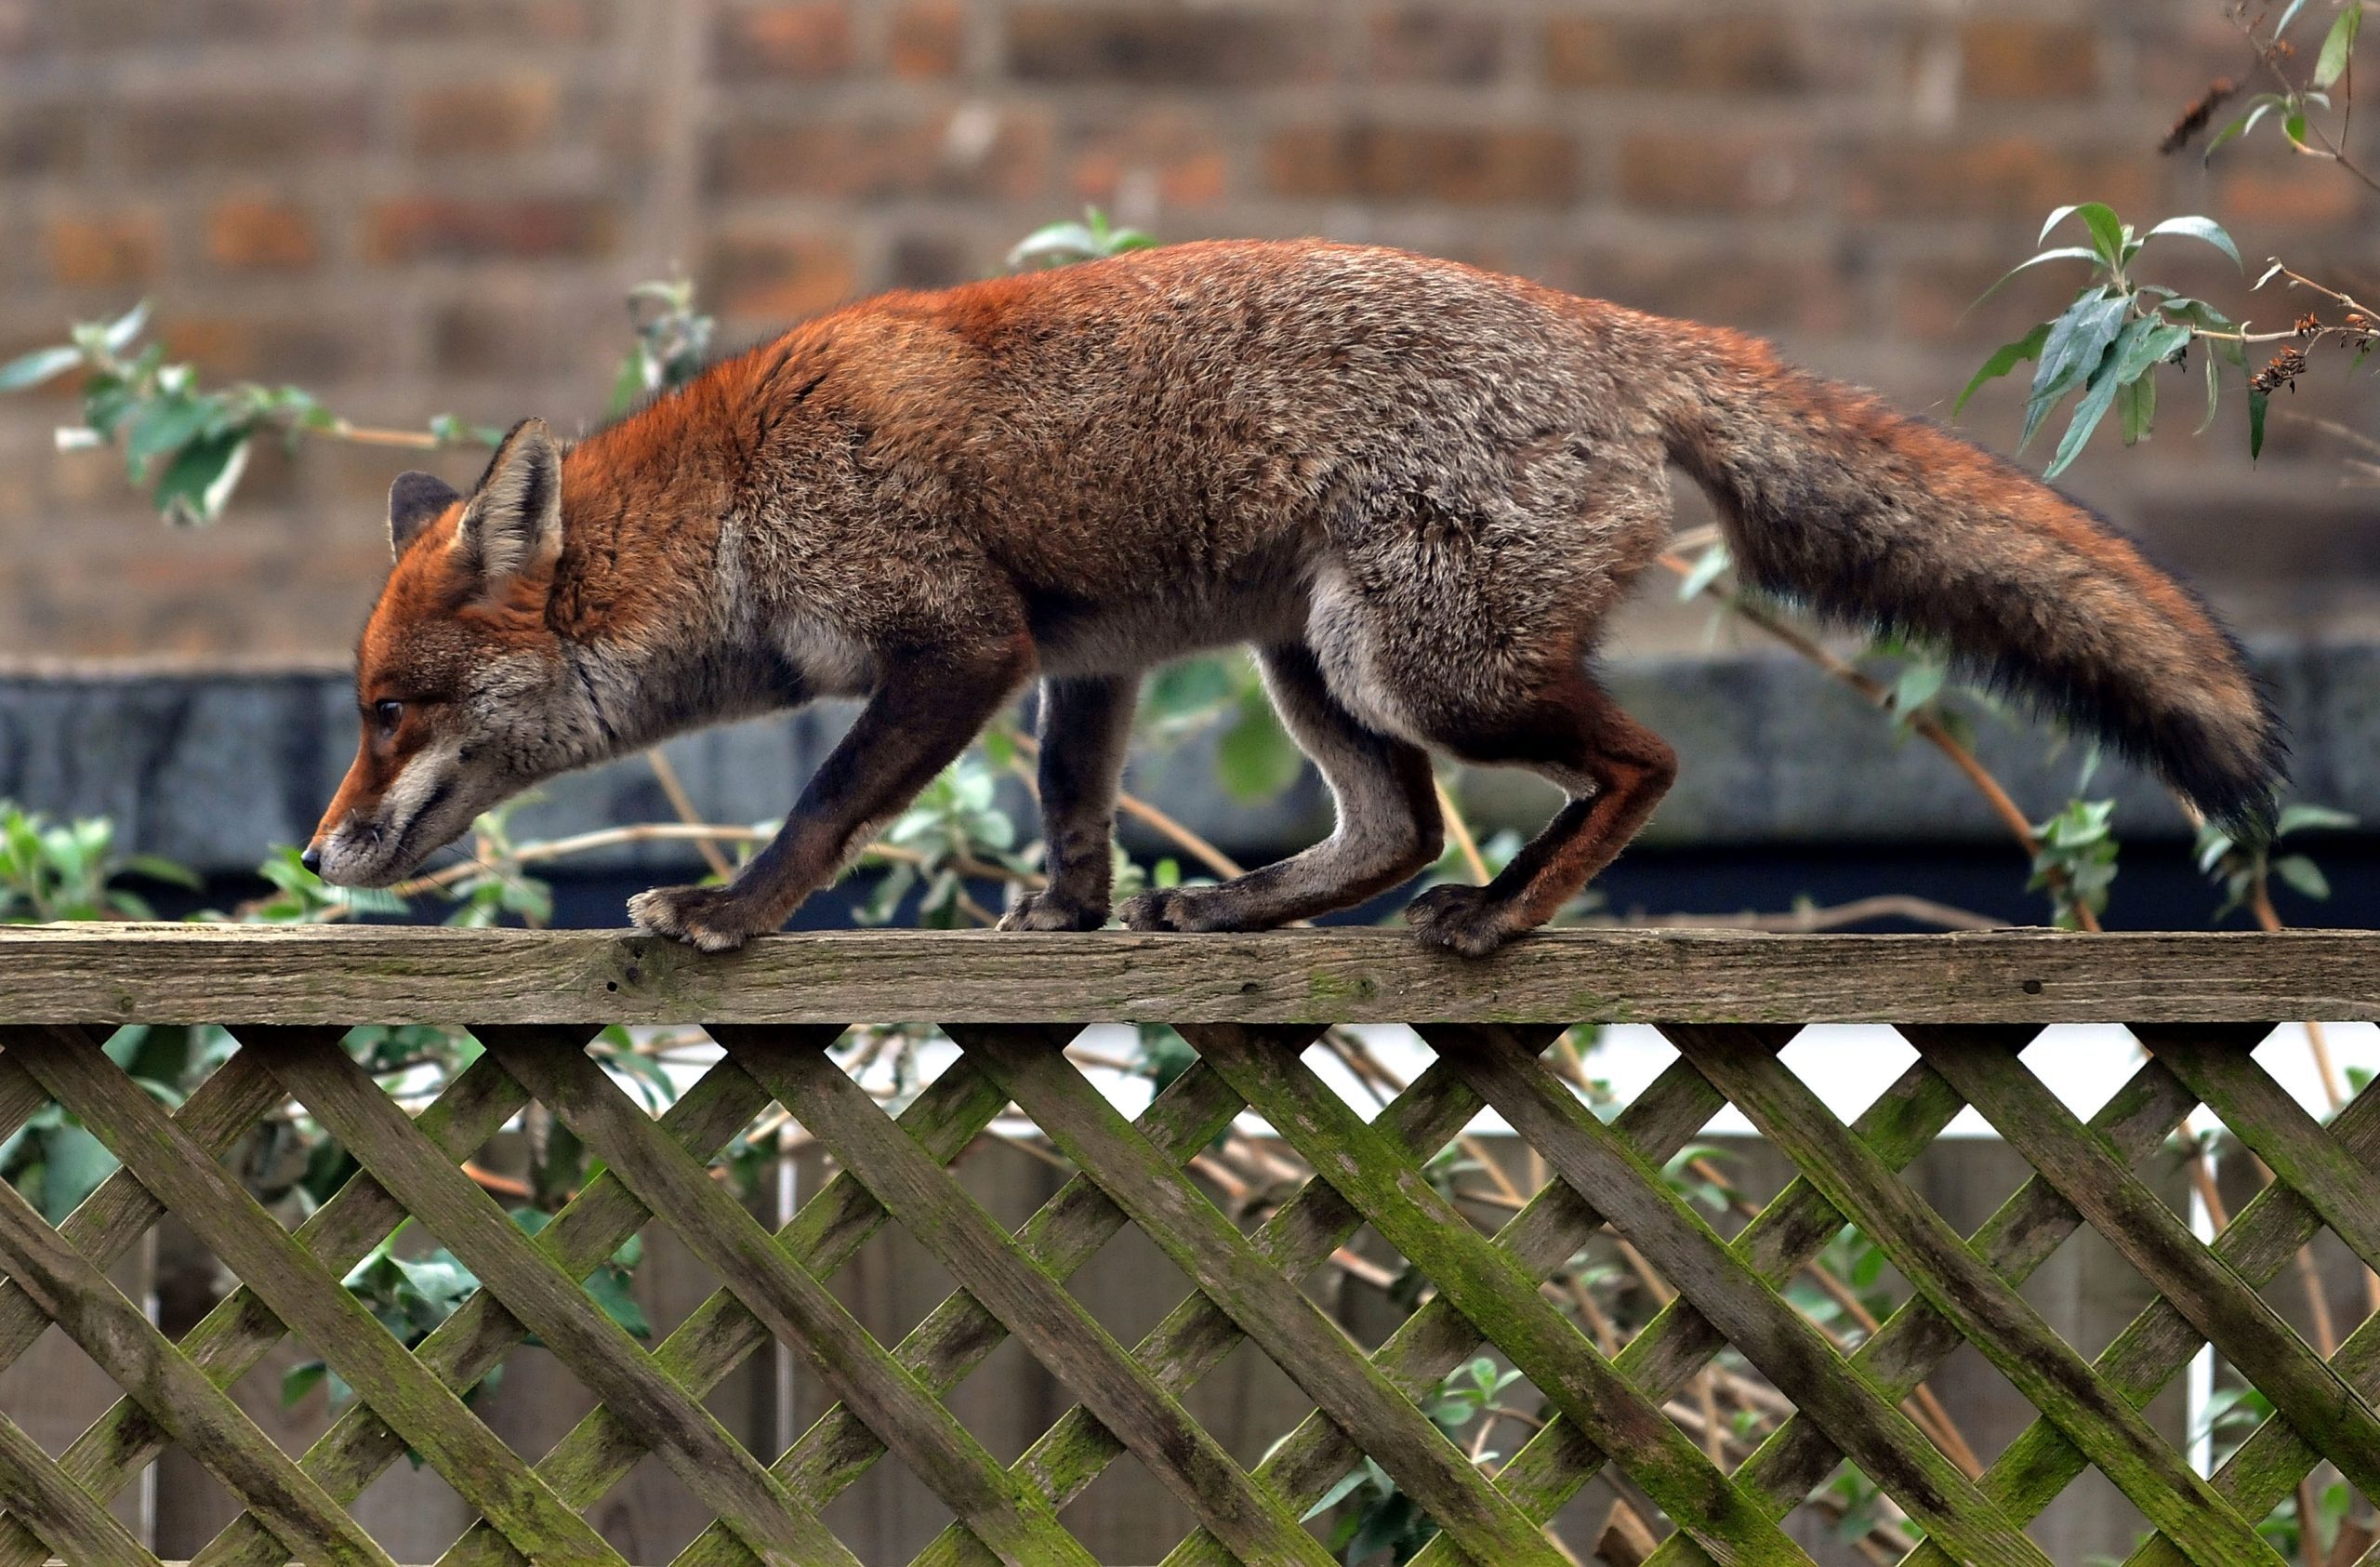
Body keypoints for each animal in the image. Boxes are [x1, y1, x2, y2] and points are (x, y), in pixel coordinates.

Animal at [304, 239, 2285, 955]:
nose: (320, 852)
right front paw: (1073, 924)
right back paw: (1252, 910)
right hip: (1310, 663)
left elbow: (822, 808)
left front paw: (727, 920)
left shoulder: (957, 642)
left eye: (390, 711)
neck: (741, 504)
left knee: (1637, 766)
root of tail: (1610, 324)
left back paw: (1504, 920)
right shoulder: (1082, 656)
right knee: (1396, 827)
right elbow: (1074, 805)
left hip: (1417, 661)